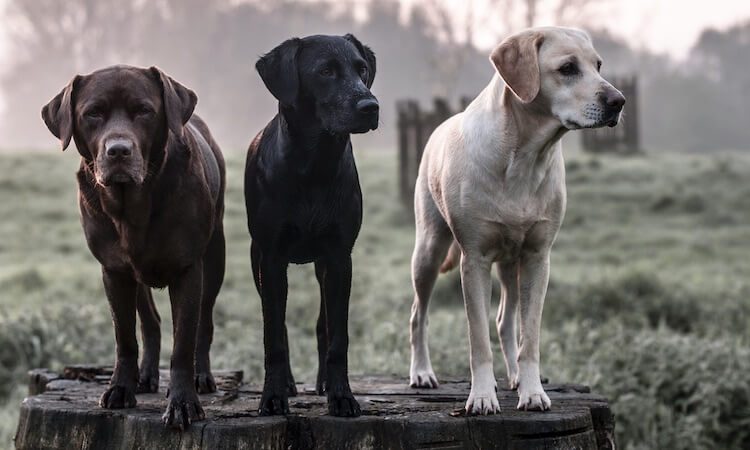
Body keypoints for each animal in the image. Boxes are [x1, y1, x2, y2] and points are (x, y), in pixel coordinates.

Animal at [244, 35, 378, 418]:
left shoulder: (339, 258)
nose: (370, 106)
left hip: (322, 267)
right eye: (325, 72)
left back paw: (324, 383)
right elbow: (274, 336)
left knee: (323, 326)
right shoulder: (271, 259)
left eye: (362, 69)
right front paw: (273, 397)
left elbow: (338, 337)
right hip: (256, 261)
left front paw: (342, 396)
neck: (314, 166)